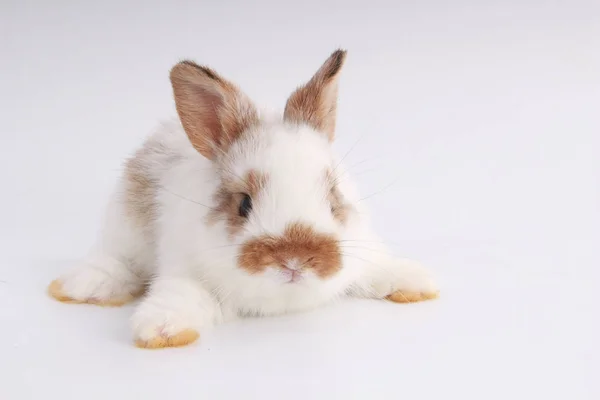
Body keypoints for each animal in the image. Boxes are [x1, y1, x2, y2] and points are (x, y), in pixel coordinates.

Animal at [48, 50, 440, 348]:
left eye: (333, 199)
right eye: (243, 204)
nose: (294, 260)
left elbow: (376, 265)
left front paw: (415, 281)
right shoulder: (183, 269)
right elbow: (178, 295)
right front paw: (161, 329)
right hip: (123, 229)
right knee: (113, 261)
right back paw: (82, 286)